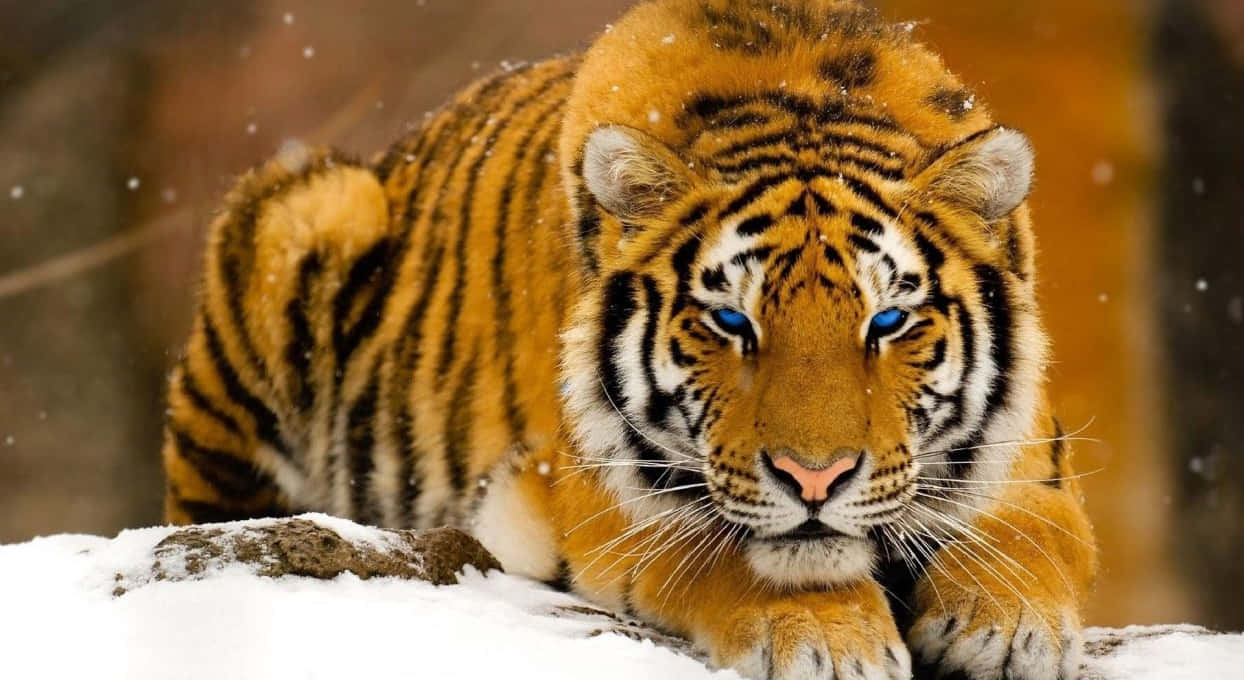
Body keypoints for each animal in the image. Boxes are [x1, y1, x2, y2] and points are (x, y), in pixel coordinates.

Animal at [161, 0, 1098, 678]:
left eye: (887, 321)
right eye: (731, 321)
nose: (815, 479)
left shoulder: (1029, 456)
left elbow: (1030, 532)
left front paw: (1004, 625)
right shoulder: (594, 488)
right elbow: (728, 549)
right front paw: (828, 640)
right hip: (305, 214)